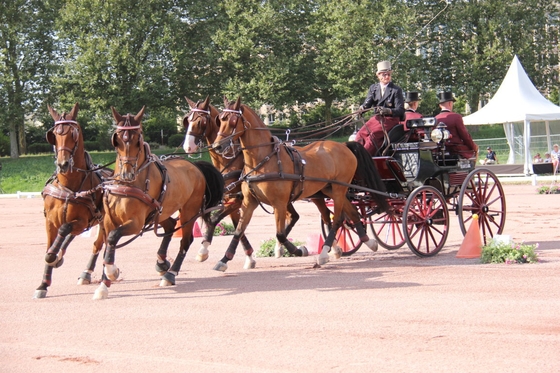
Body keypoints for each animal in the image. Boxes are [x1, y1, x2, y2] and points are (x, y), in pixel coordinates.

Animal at [34, 102, 111, 300]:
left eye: (73, 134)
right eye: (54, 135)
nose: (63, 164)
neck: (69, 187)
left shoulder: (82, 220)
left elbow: (64, 230)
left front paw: (55, 257)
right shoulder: (50, 221)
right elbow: (50, 247)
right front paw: (43, 284)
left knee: (100, 243)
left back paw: (92, 273)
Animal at [95, 106, 224, 298]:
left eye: (138, 140)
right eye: (116, 140)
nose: (127, 173)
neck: (126, 186)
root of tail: (195, 166)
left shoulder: (136, 223)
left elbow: (112, 238)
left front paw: (111, 271)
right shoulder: (109, 222)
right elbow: (108, 244)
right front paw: (104, 284)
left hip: (189, 210)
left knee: (186, 240)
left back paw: (170, 274)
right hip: (162, 211)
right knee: (170, 226)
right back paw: (162, 262)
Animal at [182, 96, 300, 270]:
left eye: (201, 121)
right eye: (188, 120)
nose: (188, 146)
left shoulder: (237, 200)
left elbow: (216, 219)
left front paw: (204, 250)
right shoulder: (234, 200)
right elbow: (238, 226)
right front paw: (248, 257)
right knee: (293, 216)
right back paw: (279, 247)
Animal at [211, 95, 390, 264]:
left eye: (233, 120)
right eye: (220, 120)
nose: (217, 146)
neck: (264, 159)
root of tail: (344, 145)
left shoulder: (279, 203)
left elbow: (280, 234)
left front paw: (299, 250)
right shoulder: (249, 202)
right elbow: (239, 230)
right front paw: (224, 260)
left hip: (339, 189)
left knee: (338, 219)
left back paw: (324, 253)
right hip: (330, 189)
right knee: (351, 213)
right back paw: (368, 242)